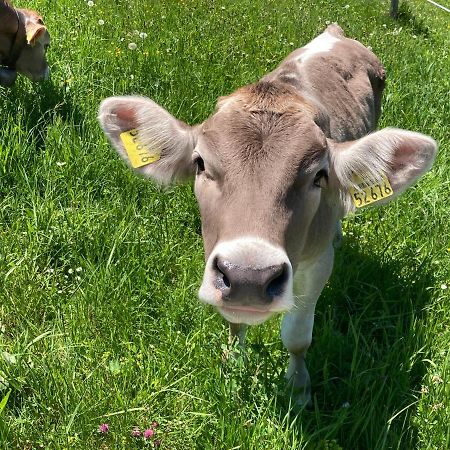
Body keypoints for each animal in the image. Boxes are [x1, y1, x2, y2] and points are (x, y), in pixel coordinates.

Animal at [97, 23, 436, 404]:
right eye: (200, 163)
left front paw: (299, 388)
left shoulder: (318, 263)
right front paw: (233, 367)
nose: (249, 277)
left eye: (319, 176)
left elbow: (297, 334)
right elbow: (234, 323)